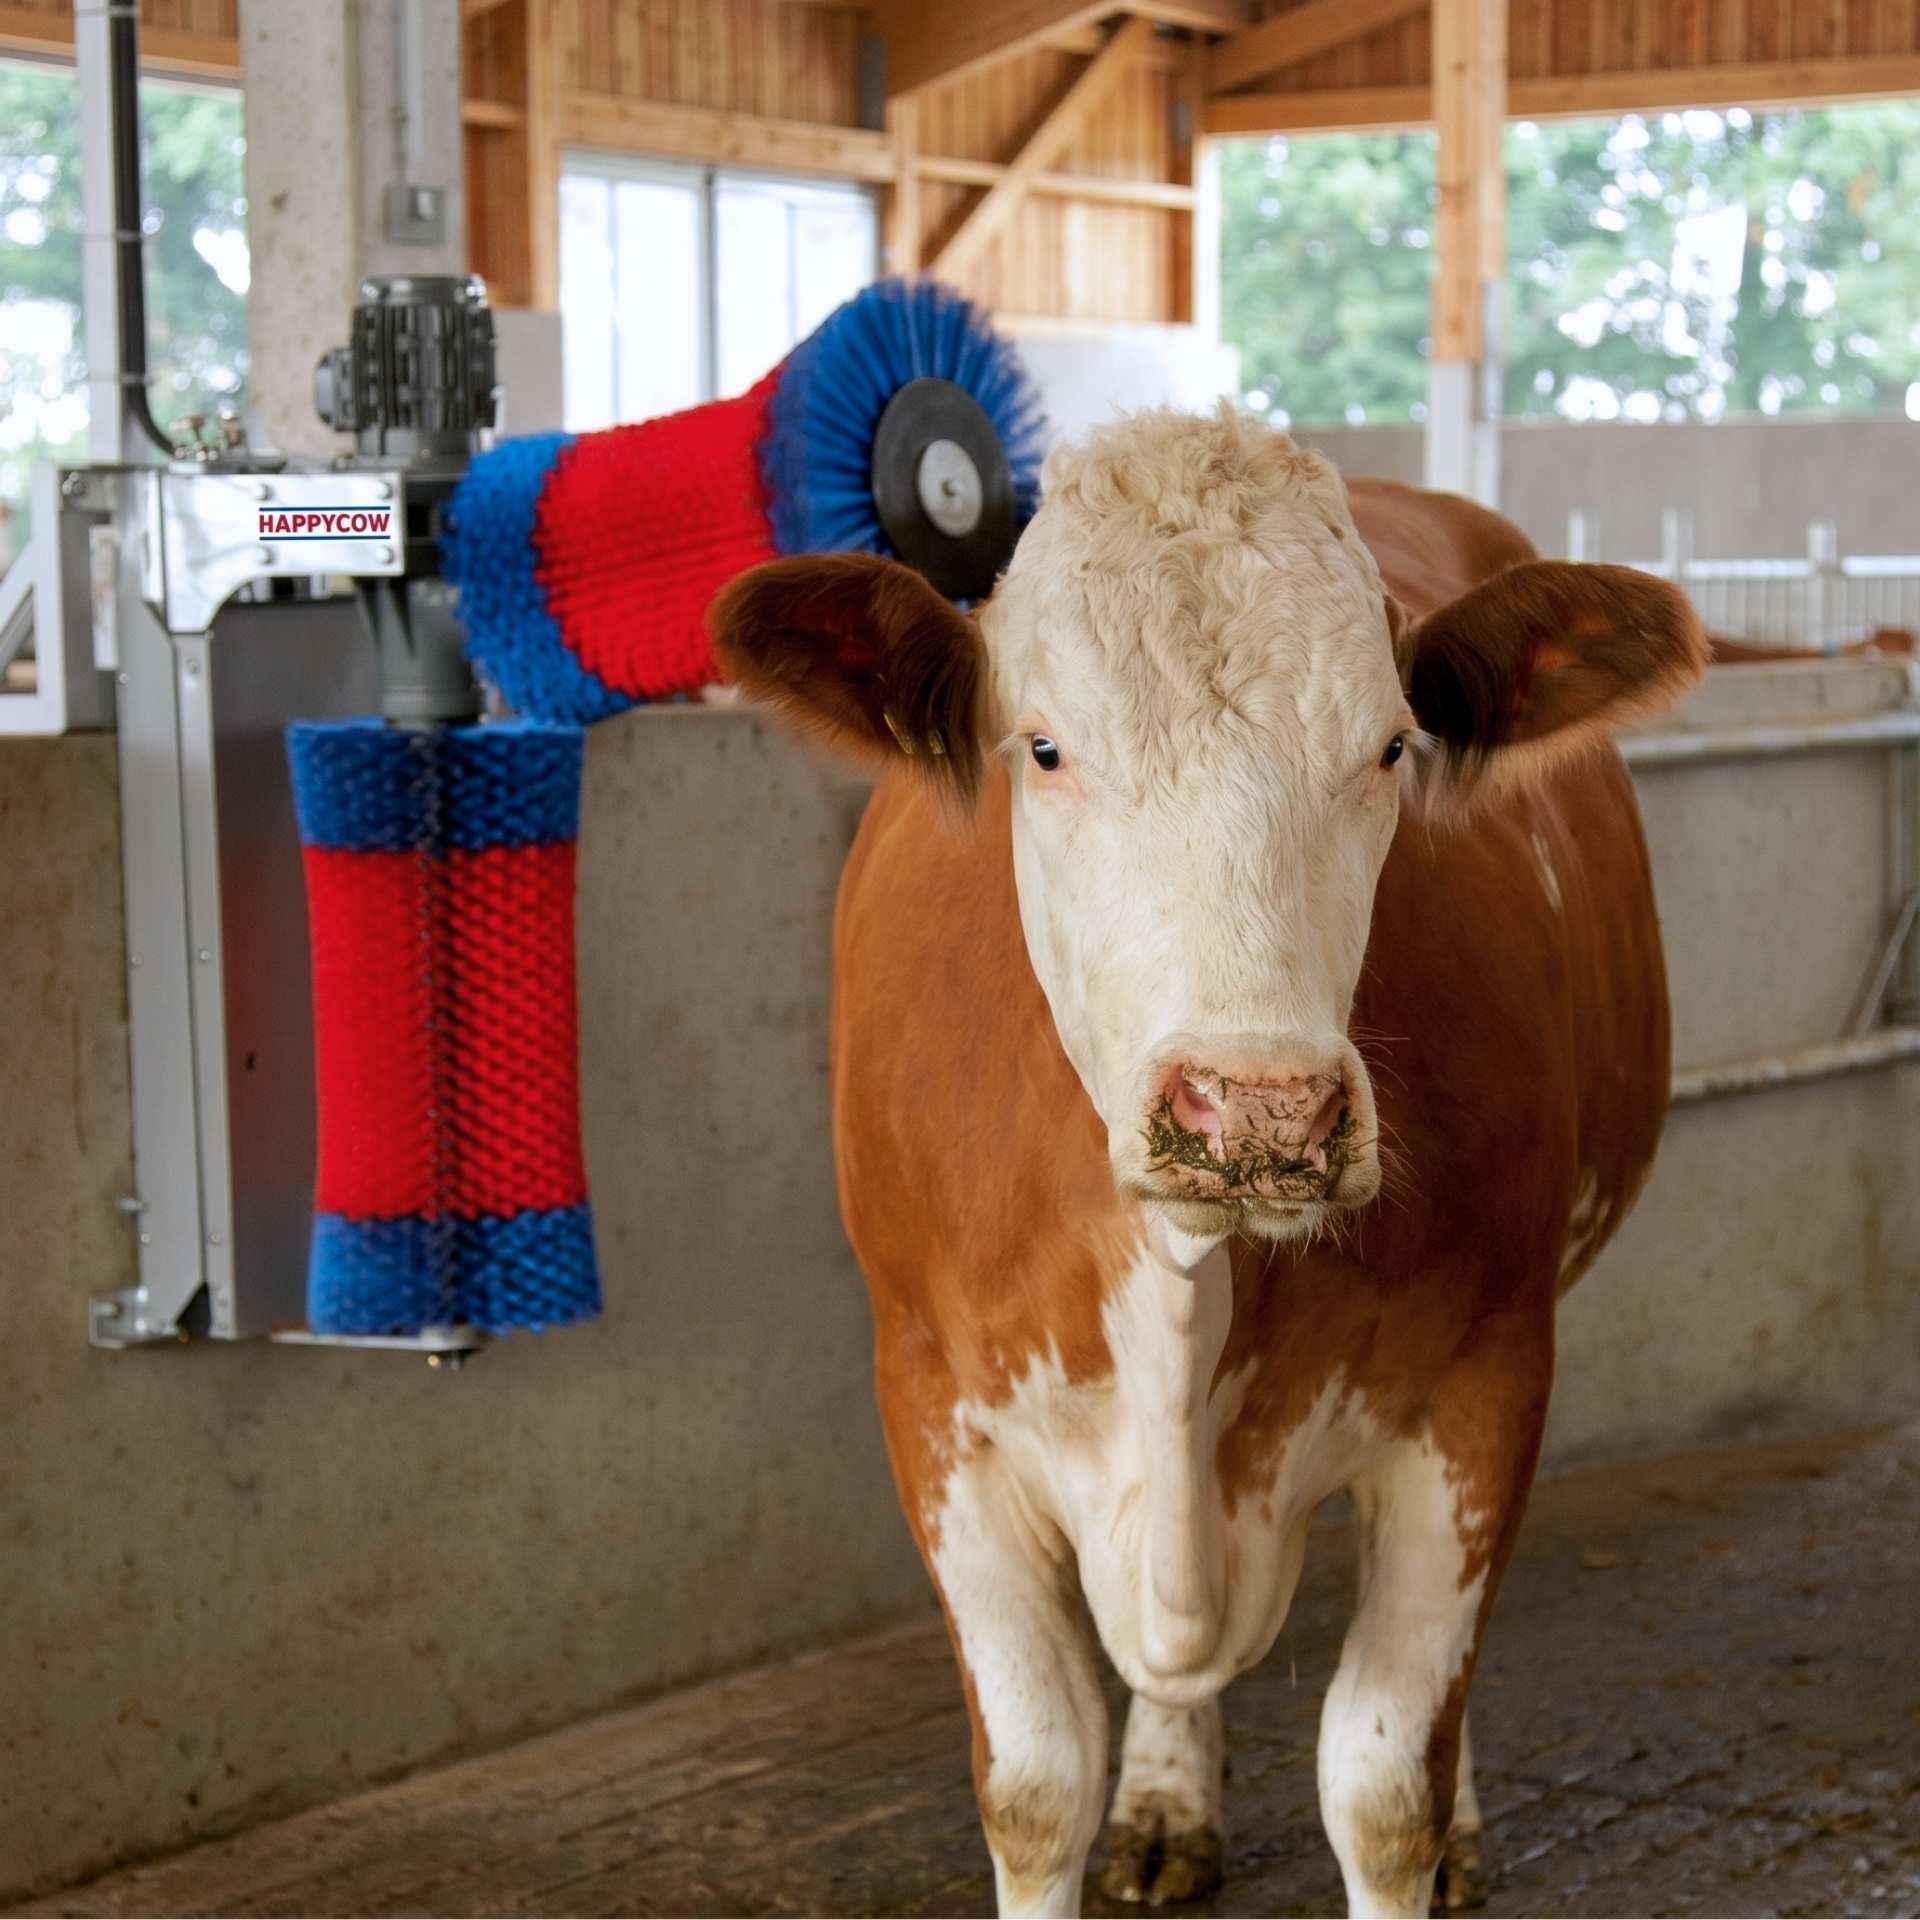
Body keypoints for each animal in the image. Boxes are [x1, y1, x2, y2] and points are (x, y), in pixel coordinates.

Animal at [710, 406, 1709, 1920]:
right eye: (1043, 747)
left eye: (1391, 748)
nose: (1258, 1110)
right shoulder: (934, 1399)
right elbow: (1036, 1786)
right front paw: (1129, 1793)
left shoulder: (1485, 1378)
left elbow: (1386, 1785)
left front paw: (1430, 1826)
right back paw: (1167, 1798)